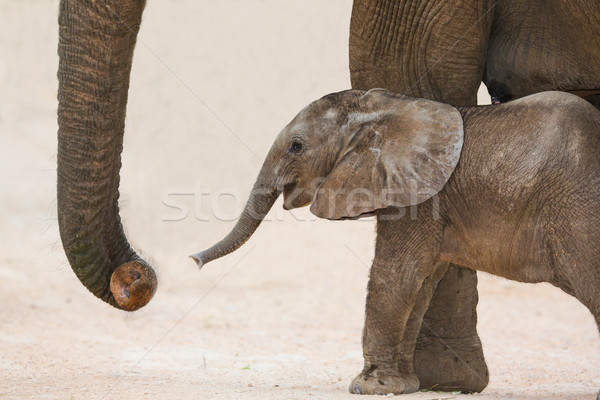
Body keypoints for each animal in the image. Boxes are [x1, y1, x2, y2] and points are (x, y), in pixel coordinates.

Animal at [191, 90, 600, 394]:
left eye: (296, 146)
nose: (194, 260)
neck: (385, 106)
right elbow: (421, 283)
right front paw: (402, 386)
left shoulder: (418, 197)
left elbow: (397, 274)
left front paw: (367, 387)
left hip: (577, 212)